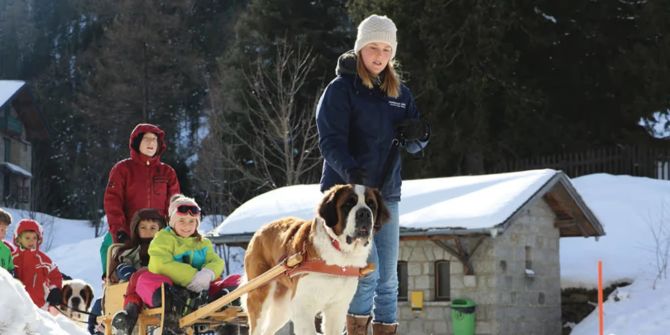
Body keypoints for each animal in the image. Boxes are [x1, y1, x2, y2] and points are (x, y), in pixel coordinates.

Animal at [243, 185, 392, 335]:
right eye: (348, 204)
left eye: (371, 204)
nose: (365, 213)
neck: (339, 253)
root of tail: (259, 231)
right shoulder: (303, 306)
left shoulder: (337, 308)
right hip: (260, 294)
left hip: (283, 307)